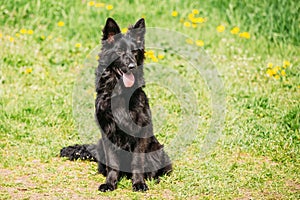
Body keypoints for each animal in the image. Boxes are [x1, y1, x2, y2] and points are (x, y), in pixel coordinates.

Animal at [60, 18, 172, 192]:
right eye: (119, 51)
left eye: (135, 52)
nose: (132, 66)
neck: (121, 94)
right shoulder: (108, 132)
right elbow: (113, 163)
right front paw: (110, 183)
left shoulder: (141, 132)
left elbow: (137, 161)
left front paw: (138, 183)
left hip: (157, 150)